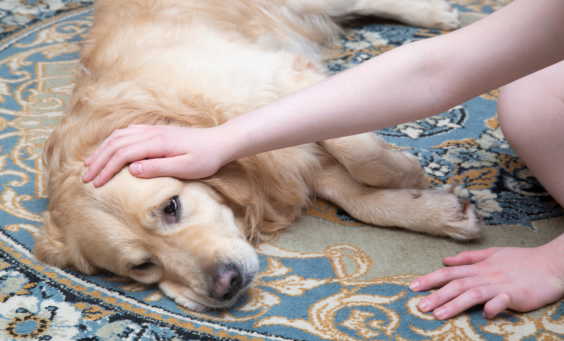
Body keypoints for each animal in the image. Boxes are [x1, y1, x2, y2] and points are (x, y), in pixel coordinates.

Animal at [34, 0, 480, 310]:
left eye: (171, 206)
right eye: (141, 266)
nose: (225, 284)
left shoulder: (283, 77)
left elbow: (356, 149)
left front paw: (406, 172)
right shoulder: (286, 162)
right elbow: (355, 197)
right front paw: (436, 211)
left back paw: (437, 13)